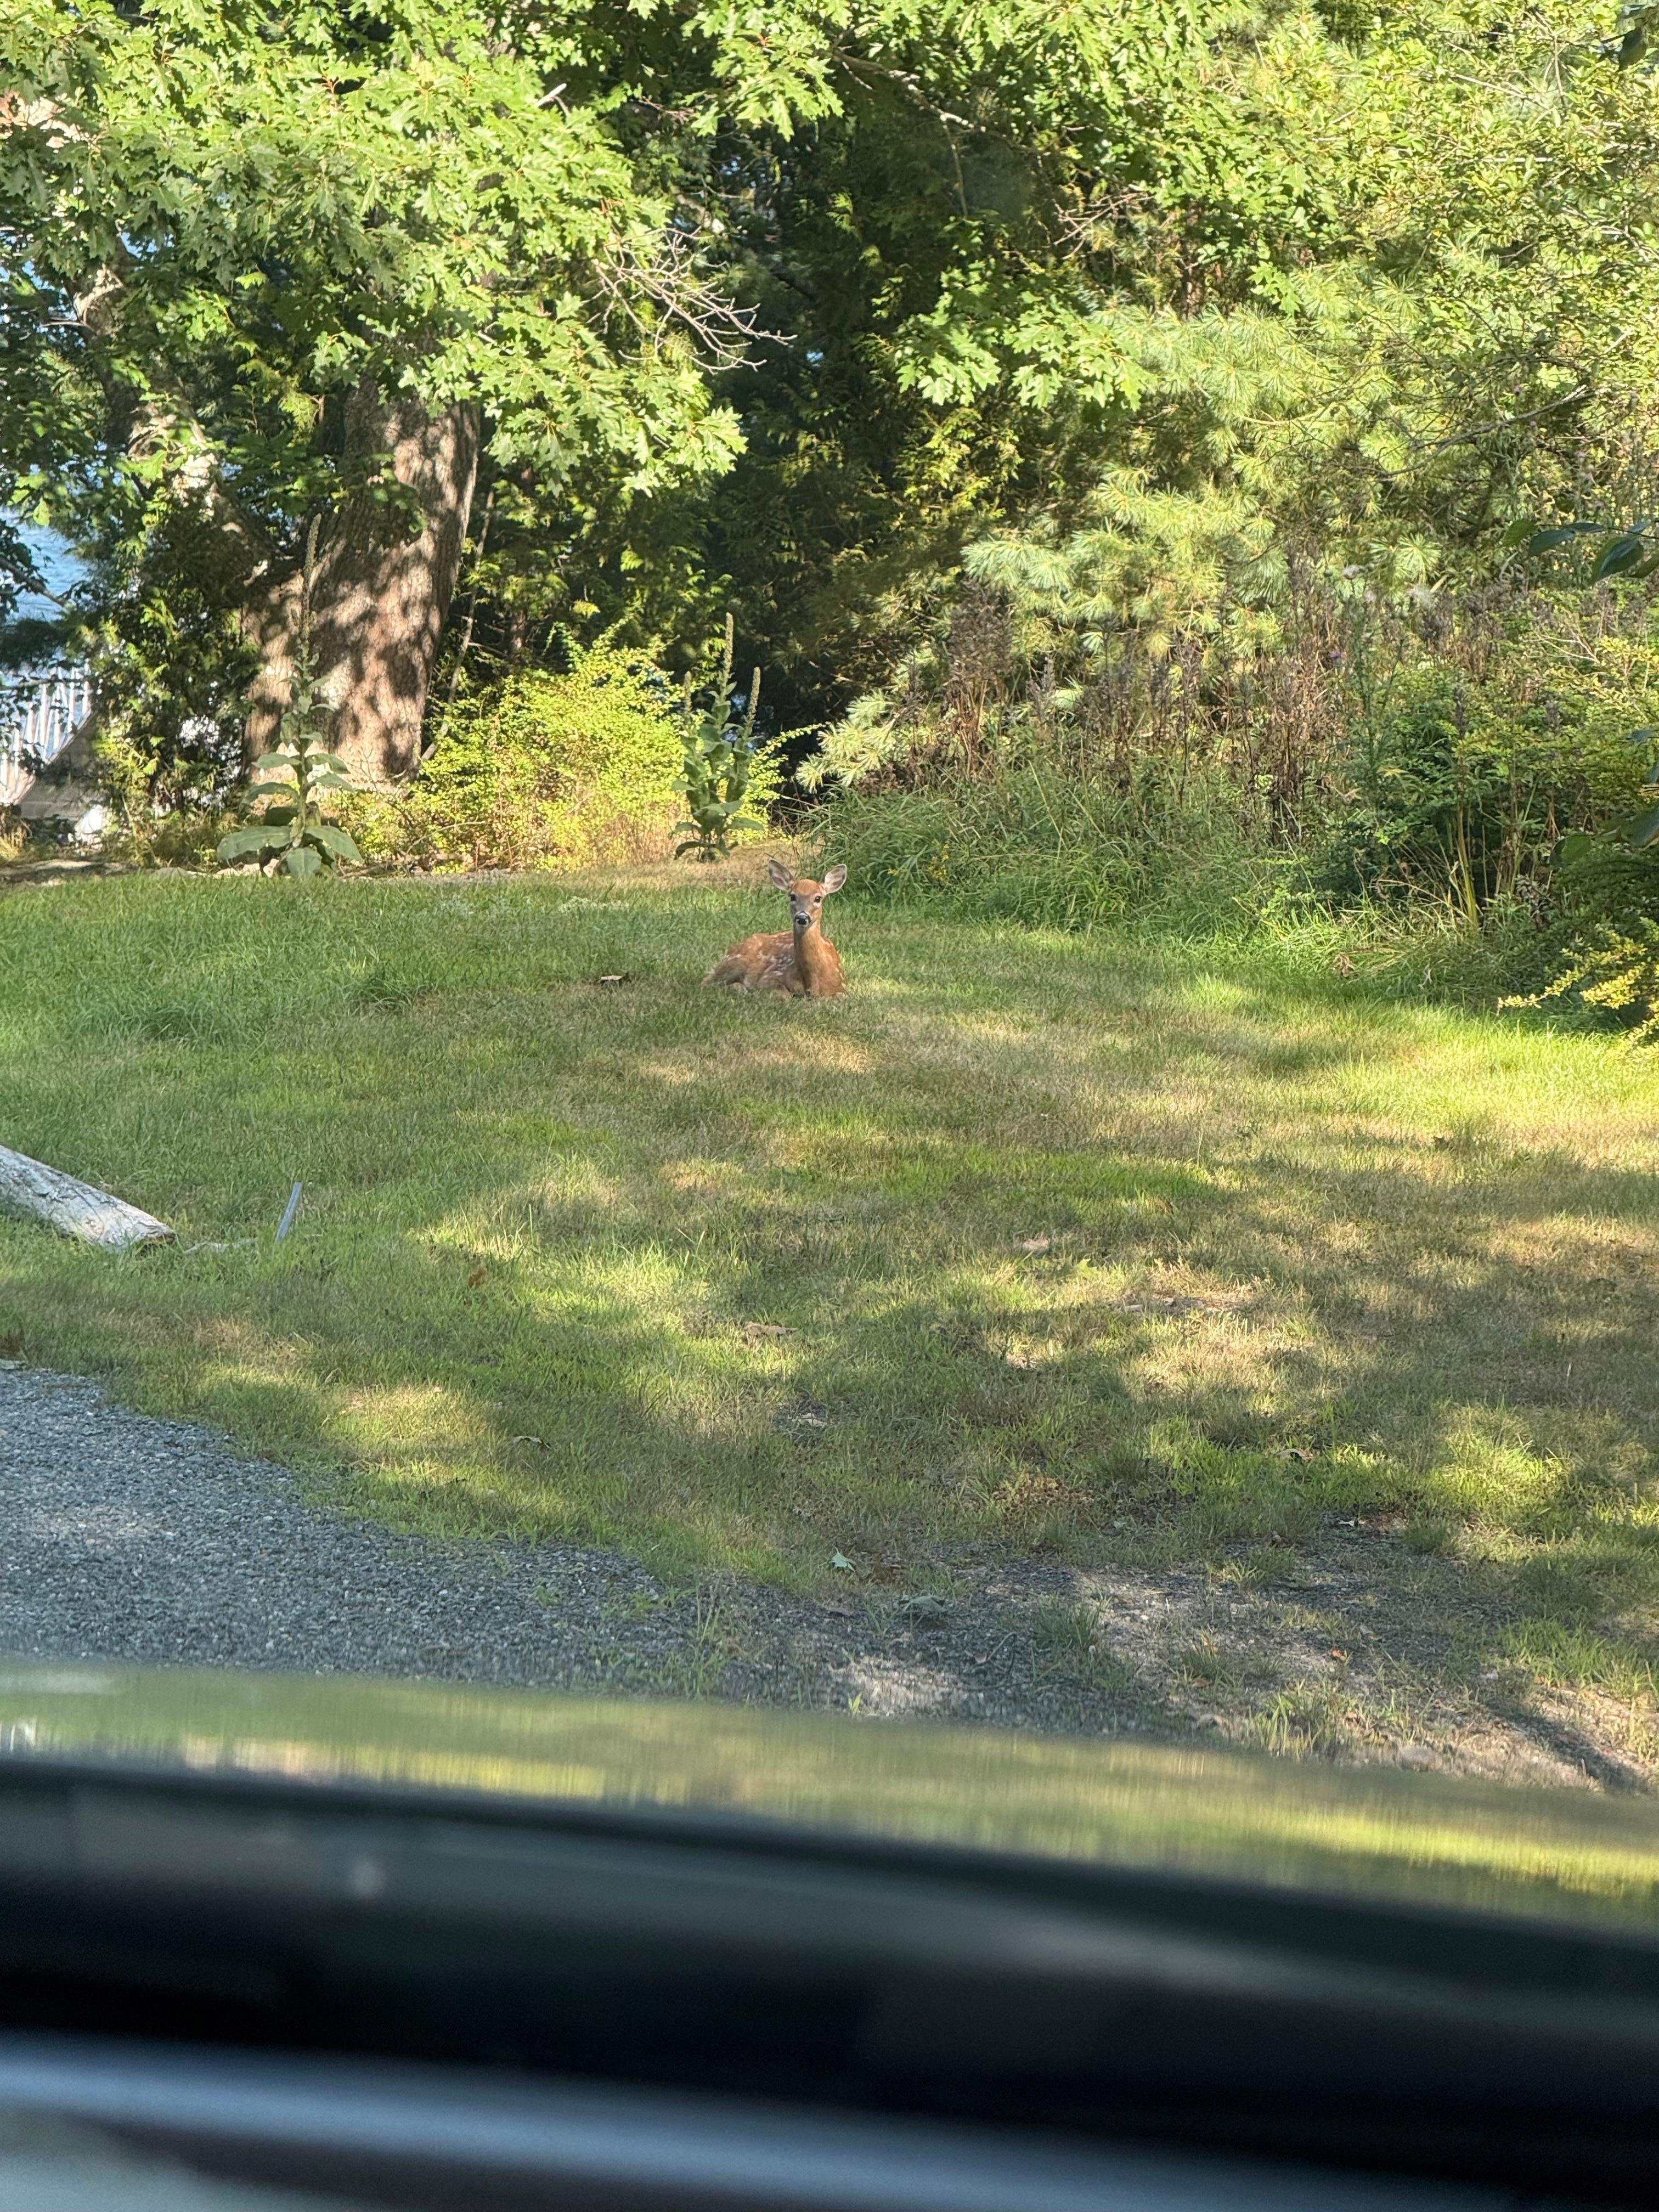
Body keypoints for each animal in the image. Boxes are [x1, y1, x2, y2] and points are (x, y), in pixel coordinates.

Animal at [704, 858, 848, 997]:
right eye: (793, 896)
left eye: (818, 898)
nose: (802, 918)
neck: (812, 980)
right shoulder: (769, 976)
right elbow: (785, 996)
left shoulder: (841, 988)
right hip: (735, 962)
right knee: (707, 982)